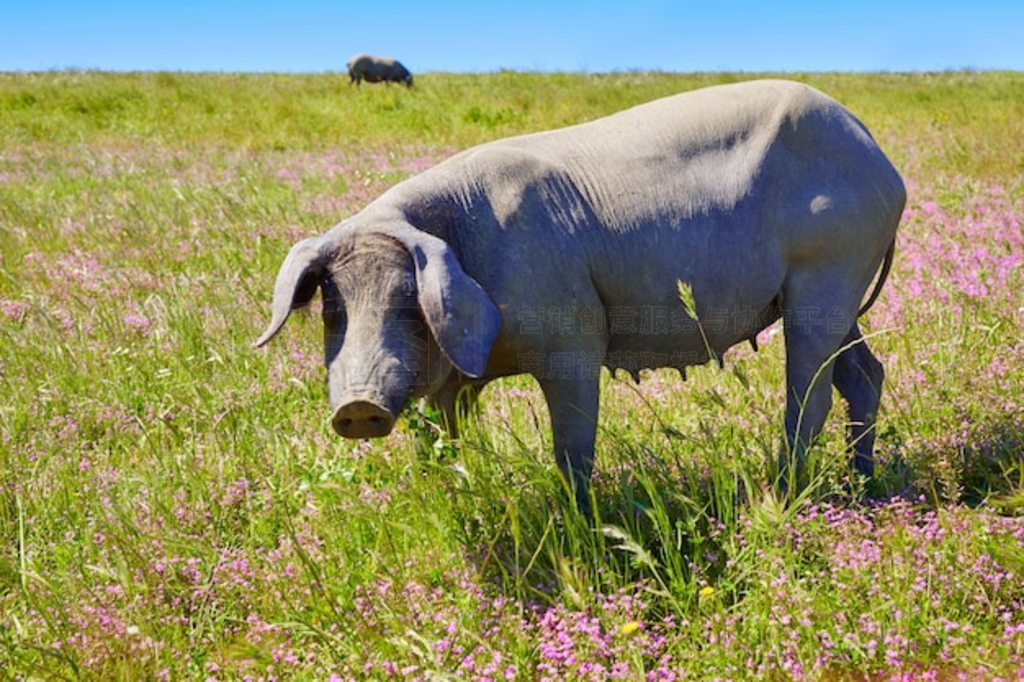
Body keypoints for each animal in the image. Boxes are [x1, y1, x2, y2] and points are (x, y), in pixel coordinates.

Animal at [256, 78, 905, 509]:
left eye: (405, 302)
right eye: (333, 310)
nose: (357, 407)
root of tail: (883, 162)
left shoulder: (573, 341)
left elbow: (572, 445)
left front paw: (577, 518)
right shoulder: (454, 379)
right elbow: (441, 442)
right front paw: (446, 493)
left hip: (829, 268)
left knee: (810, 393)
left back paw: (781, 494)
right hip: (836, 292)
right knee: (863, 375)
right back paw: (864, 485)